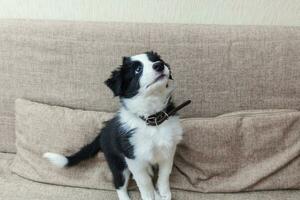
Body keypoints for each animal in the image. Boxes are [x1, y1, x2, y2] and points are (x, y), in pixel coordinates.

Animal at [43, 52, 182, 200]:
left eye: (156, 60)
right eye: (138, 70)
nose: (159, 65)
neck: (152, 119)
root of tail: (103, 132)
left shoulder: (168, 149)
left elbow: (165, 173)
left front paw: (164, 192)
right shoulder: (133, 158)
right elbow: (144, 182)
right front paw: (149, 196)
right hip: (117, 163)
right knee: (119, 184)